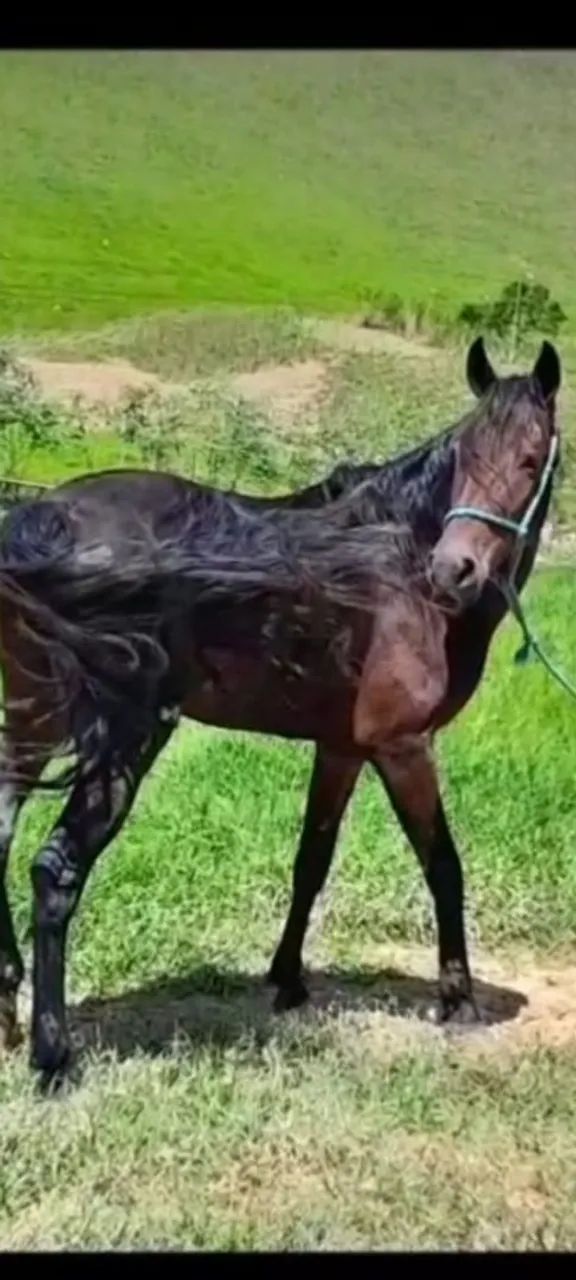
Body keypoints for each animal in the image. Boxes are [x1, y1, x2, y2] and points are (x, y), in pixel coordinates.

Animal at [0, 337, 561, 1086]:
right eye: (467, 456)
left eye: (528, 461)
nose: (455, 571)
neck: (398, 571)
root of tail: (37, 526)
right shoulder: (404, 747)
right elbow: (442, 863)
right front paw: (458, 999)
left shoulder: (342, 748)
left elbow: (310, 861)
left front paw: (288, 980)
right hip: (120, 742)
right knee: (55, 871)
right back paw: (53, 1057)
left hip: (31, 724)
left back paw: (8, 1004)